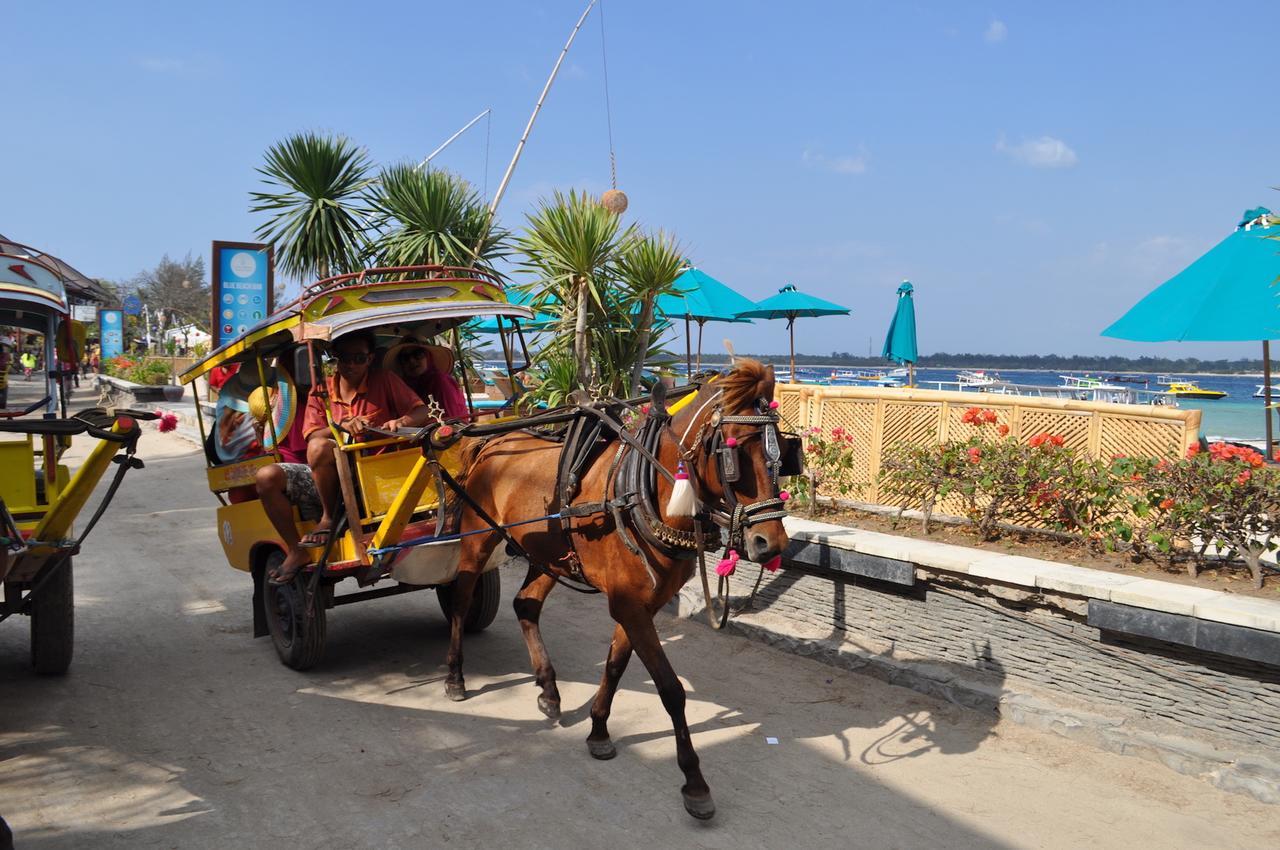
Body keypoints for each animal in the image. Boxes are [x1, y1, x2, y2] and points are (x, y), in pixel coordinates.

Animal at [440, 358, 788, 819]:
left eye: (782, 451)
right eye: (733, 452)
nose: (771, 544)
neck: (644, 492)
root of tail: (493, 440)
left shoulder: (640, 604)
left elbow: (615, 666)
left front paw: (599, 729)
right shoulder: (630, 605)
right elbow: (670, 689)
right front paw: (694, 781)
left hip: (550, 554)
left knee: (525, 605)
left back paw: (548, 689)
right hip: (477, 540)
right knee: (461, 603)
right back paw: (456, 676)